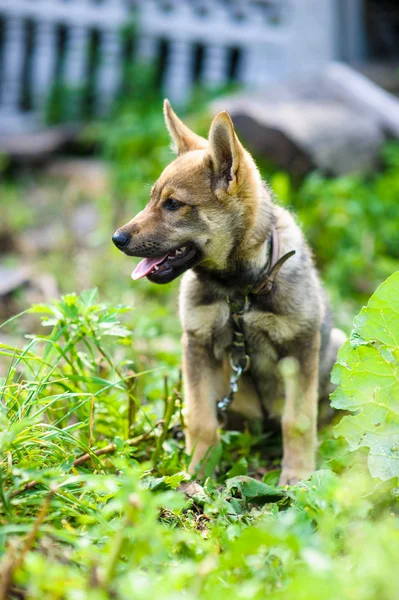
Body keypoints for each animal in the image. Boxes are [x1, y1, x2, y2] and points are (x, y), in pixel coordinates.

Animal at [113, 101, 346, 486]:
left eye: (173, 204)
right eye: (152, 199)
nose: (116, 238)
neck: (239, 291)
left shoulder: (299, 348)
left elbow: (298, 421)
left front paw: (297, 478)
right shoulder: (197, 345)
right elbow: (201, 420)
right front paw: (196, 473)